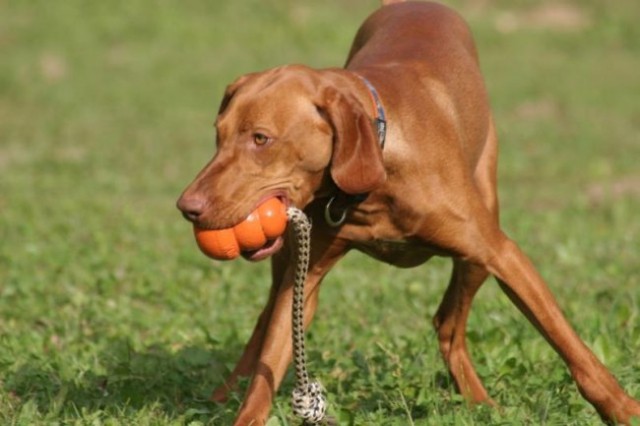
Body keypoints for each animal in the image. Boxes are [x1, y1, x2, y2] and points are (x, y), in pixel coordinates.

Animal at [176, 1, 640, 424]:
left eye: (261, 138)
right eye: (218, 135)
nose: (186, 207)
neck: (374, 176)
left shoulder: (506, 256)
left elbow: (572, 346)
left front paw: (622, 409)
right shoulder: (302, 279)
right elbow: (268, 365)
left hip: (480, 242)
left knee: (448, 323)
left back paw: (481, 404)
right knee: (265, 321)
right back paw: (223, 394)